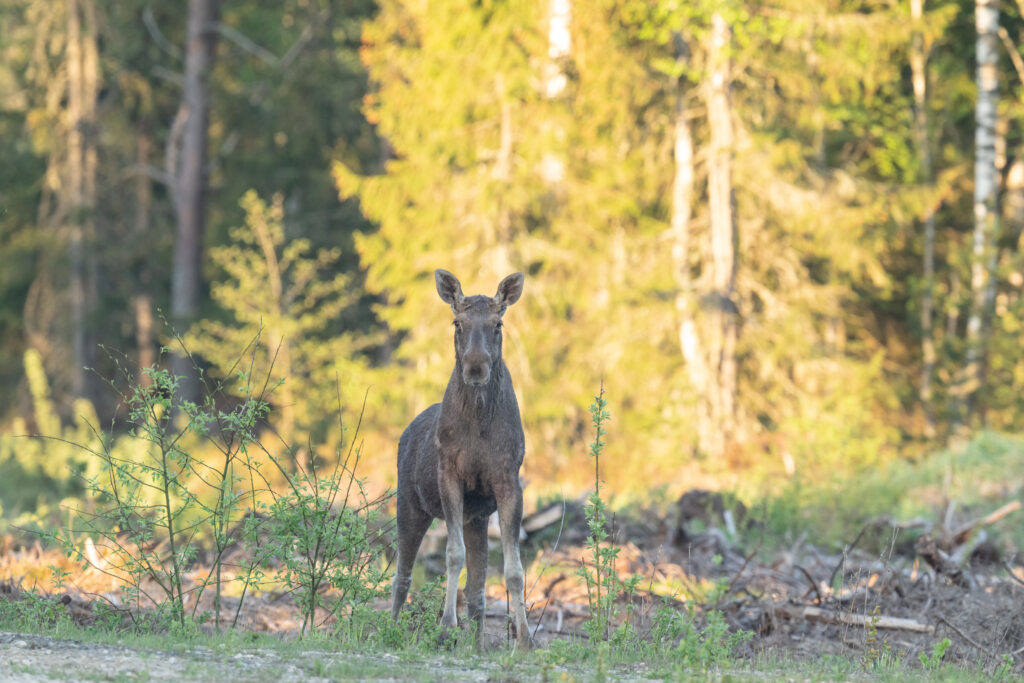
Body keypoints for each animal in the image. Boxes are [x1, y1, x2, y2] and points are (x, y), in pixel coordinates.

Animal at [391, 270, 536, 651]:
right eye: (457, 322)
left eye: (498, 323)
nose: (475, 366)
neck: (479, 421)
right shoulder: (449, 476)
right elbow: (452, 555)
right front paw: (445, 628)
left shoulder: (507, 481)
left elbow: (513, 570)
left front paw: (524, 639)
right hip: (409, 504)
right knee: (402, 574)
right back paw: (390, 628)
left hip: (476, 518)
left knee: (476, 590)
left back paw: (478, 644)